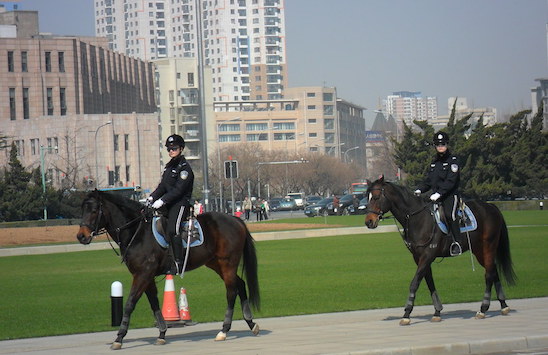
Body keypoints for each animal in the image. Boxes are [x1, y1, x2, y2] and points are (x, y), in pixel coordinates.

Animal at [75, 192, 262, 350]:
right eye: (82, 209)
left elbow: (129, 304)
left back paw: (224, 330)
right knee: (240, 284)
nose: (81, 236)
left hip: (227, 263)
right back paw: (251, 323)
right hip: (216, 264)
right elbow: (154, 303)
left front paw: (119, 338)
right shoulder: (146, 276)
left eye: (94, 210)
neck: (138, 232)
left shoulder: (142, 275)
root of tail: (235, 219)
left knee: (231, 291)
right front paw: (162, 333)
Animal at [364, 177, 512, 326]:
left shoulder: (427, 256)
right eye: (367, 197)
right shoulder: (419, 258)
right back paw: (503, 305)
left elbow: (414, 283)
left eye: (376, 197)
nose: (369, 221)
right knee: (492, 270)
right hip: (479, 251)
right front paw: (437, 311)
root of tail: (491, 206)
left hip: (488, 246)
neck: (418, 218)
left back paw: (483, 308)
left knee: (489, 275)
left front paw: (407, 313)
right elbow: (429, 282)